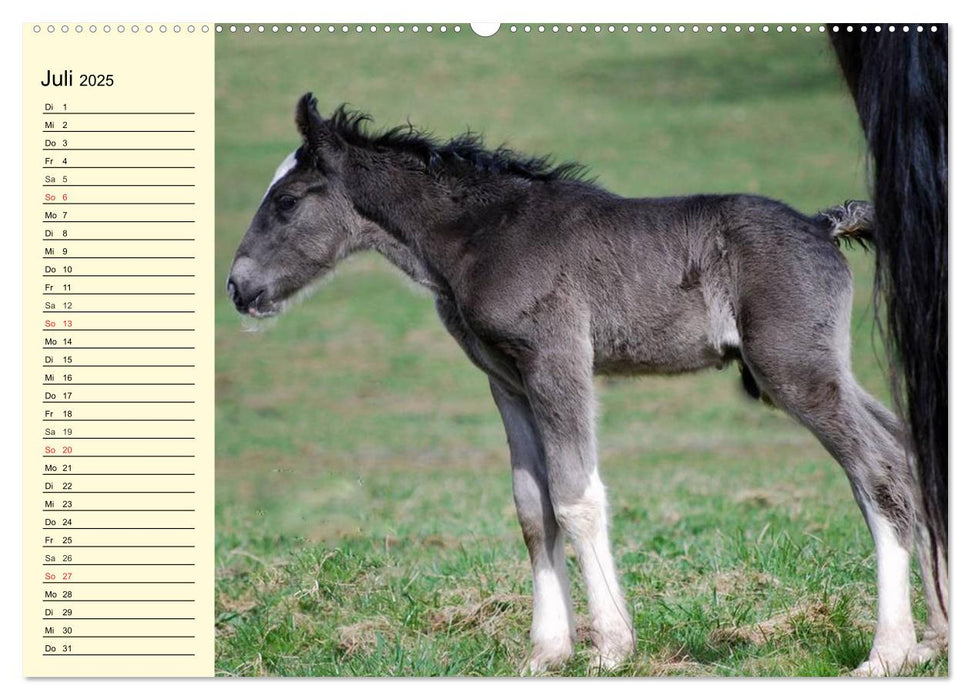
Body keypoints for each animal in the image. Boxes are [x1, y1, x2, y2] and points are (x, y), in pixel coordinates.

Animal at [228, 95, 948, 676]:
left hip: (792, 368)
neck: (483, 236)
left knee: (877, 468)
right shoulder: (506, 381)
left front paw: (609, 649)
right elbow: (531, 505)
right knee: (905, 449)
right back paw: (934, 638)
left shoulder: (557, 359)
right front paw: (546, 652)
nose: (238, 287)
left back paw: (886, 651)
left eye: (287, 201)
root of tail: (820, 225)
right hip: (820, 368)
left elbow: (575, 496)